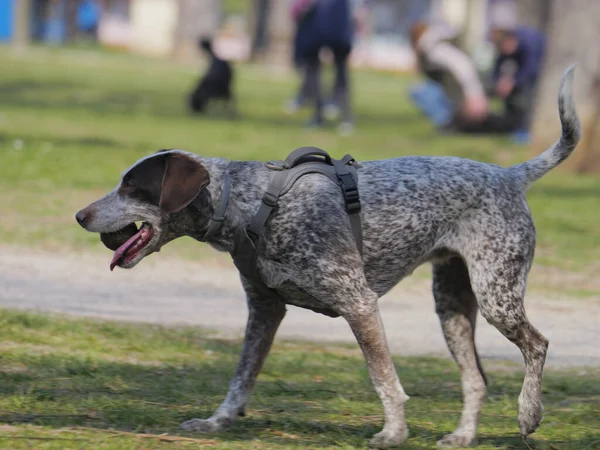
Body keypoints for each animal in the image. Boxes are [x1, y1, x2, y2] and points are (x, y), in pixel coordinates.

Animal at [76, 66, 580, 446]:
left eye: (132, 187)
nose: (80, 215)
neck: (252, 203)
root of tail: (511, 175)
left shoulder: (359, 303)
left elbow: (384, 379)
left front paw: (393, 433)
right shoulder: (264, 310)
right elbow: (241, 379)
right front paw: (217, 422)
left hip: (497, 297)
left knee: (537, 345)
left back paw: (528, 414)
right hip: (452, 307)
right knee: (477, 379)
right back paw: (462, 437)